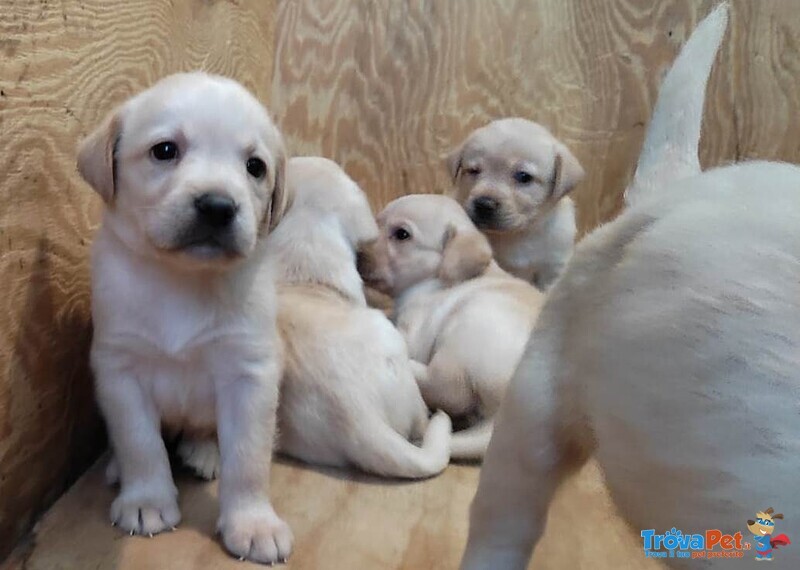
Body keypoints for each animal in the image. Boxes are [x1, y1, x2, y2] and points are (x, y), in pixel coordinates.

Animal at [79, 72, 294, 564]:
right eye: (164, 150)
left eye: (255, 167)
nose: (217, 206)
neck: (182, 280)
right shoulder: (119, 369)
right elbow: (140, 442)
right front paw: (146, 499)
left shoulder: (250, 374)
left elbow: (249, 459)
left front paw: (252, 522)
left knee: (207, 431)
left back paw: (207, 452)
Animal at [360, 193, 544, 460]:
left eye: (402, 234)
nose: (356, 251)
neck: (433, 278)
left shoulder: (415, 327)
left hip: (470, 321)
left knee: (450, 391)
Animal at [460, 5, 800, 568]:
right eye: (471, 171)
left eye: (524, 177)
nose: (484, 204)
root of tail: (686, 186)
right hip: (540, 397)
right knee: (504, 515)